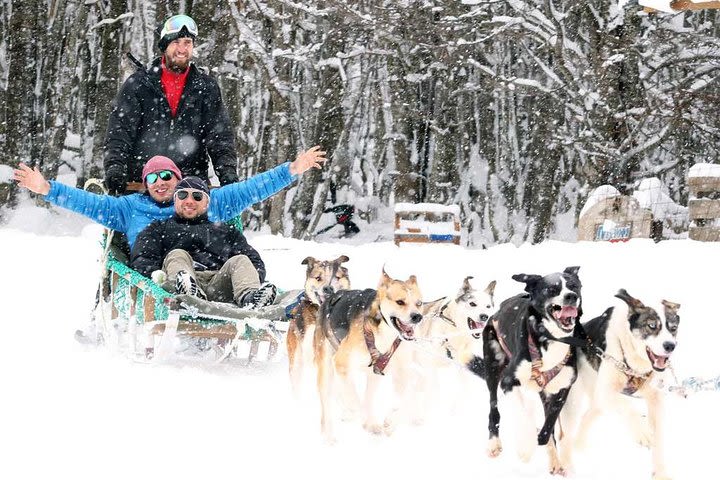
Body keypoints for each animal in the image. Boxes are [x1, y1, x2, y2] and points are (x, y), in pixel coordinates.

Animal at [316, 270, 444, 442]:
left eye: (419, 303)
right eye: (400, 302)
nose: (417, 316)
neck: (383, 334)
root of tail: (332, 297)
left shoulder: (401, 372)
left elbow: (400, 401)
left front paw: (390, 422)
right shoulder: (341, 363)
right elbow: (354, 399)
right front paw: (362, 416)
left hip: (373, 375)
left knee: (367, 398)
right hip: (327, 369)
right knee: (329, 405)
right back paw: (330, 435)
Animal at [480, 266, 584, 476]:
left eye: (574, 286)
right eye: (551, 289)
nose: (571, 296)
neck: (552, 338)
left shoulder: (562, 389)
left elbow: (548, 428)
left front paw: (548, 449)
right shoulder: (509, 382)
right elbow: (524, 415)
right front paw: (526, 447)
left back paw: (554, 460)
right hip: (493, 367)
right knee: (494, 409)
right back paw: (494, 443)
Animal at [560, 288, 684, 480]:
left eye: (673, 328)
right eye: (652, 326)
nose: (670, 346)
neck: (636, 365)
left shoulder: (656, 399)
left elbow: (658, 438)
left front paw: (661, 472)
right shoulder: (608, 391)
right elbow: (627, 406)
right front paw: (642, 432)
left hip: (598, 403)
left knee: (586, 419)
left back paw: (579, 448)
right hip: (574, 403)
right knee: (565, 437)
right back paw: (566, 467)